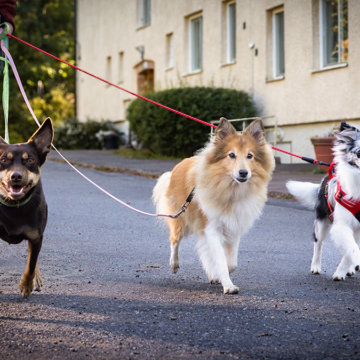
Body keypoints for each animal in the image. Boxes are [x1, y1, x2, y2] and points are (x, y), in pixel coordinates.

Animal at [0, 118, 54, 298]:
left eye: (30, 160)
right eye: (3, 160)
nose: (16, 176)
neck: (13, 205)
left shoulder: (36, 237)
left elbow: (31, 265)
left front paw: (27, 285)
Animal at [153, 117, 274, 292]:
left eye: (250, 155)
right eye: (231, 155)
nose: (243, 173)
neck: (231, 190)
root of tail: (180, 164)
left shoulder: (233, 227)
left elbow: (231, 263)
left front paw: (219, 275)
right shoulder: (212, 228)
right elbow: (221, 260)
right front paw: (228, 285)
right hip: (181, 218)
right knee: (174, 239)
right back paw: (174, 264)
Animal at [286, 121, 360, 282]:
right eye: (359, 153)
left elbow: (350, 249)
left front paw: (343, 270)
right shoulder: (341, 224)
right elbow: (352, 248)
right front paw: (345, 270)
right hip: (321, 222)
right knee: (318, 243)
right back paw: (316, 267)